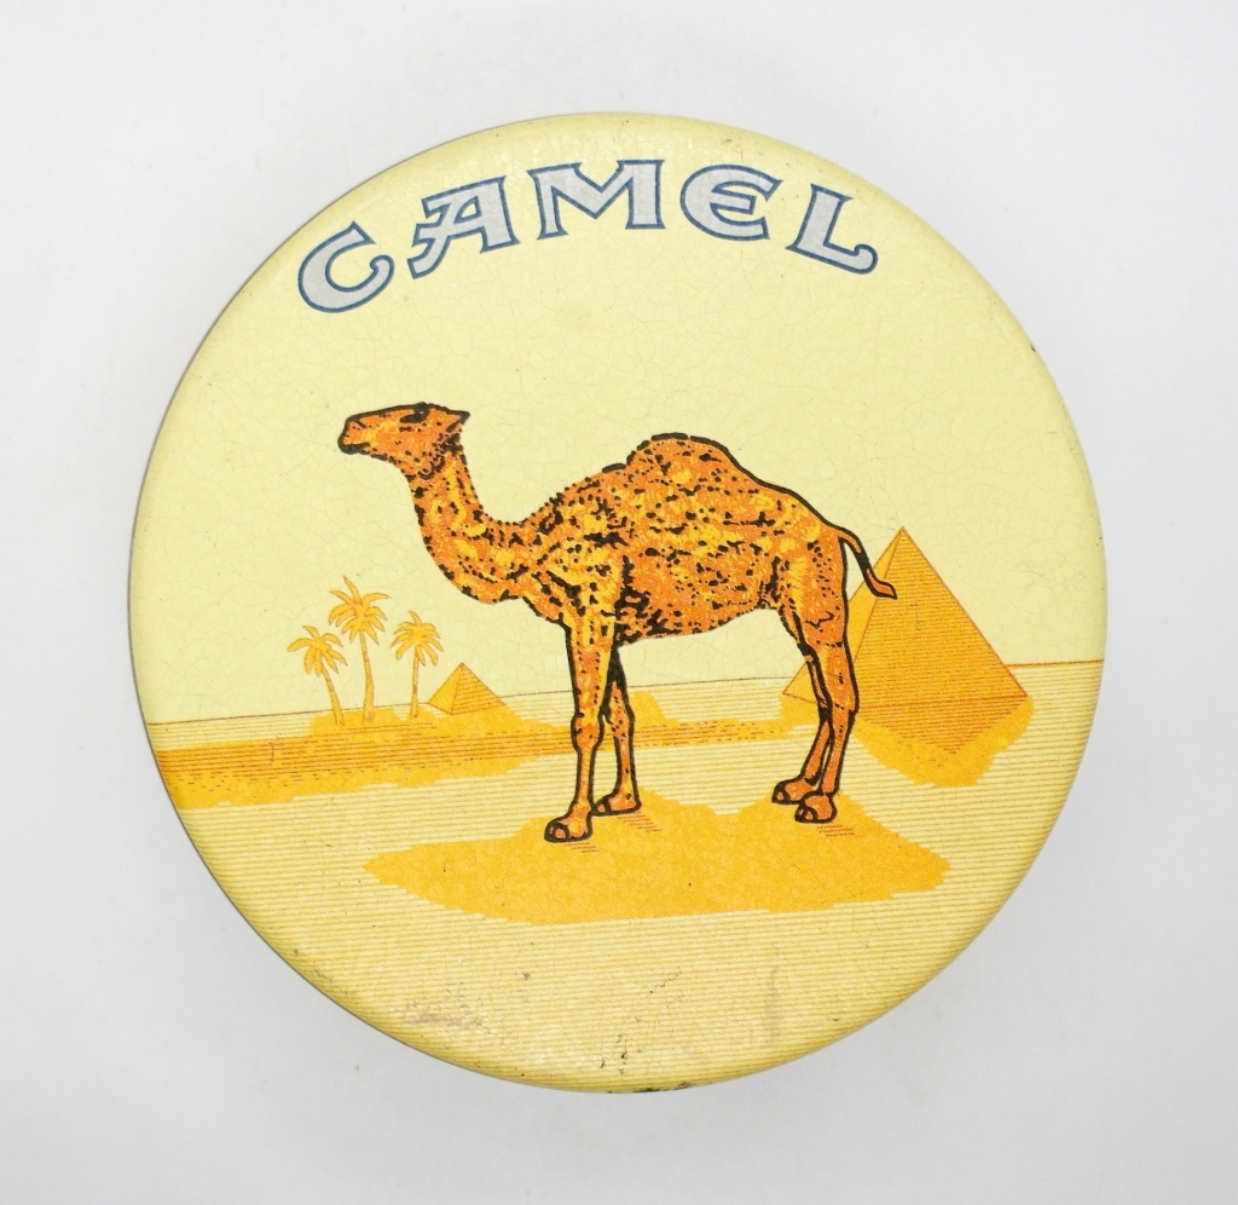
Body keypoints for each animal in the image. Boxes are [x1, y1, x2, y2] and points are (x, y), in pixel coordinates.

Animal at [338, 403, 896, 843]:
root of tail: (834, 529)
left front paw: (571, 820)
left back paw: (820, 802)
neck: (531, 548)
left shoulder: (588, 616)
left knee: (843, 696)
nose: (349, 428)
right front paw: (621, 800)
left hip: (816, 599)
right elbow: (622, 715)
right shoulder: (609, 625)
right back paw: (796, 786)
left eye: (413, 416)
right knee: (823, 693)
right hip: (794, 611)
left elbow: (585, 724)